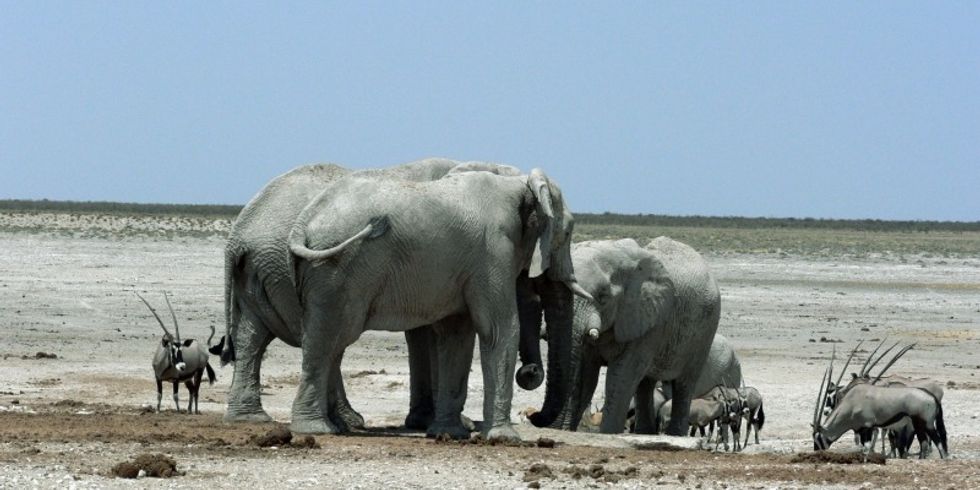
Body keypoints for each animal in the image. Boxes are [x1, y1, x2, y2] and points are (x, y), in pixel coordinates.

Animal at [217, 158, 548, 432]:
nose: (530, 371)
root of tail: (238, 235)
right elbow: (429, 333)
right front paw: (448, 424)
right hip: (307, 269)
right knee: (325, 336)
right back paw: (339, 423)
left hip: (260, 273)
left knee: (255, 337)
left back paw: (256, 418)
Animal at [286, 169, 588, 440]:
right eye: (568, 232)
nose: (530, 372)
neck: (517, 183)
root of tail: (302, 223)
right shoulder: (494, 253)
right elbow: (498, 329)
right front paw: (504, 439)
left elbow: (457, 335)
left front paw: (448, 434)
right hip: (337, 270)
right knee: (330, 339)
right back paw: (316, 429)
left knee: (331, 343)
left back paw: (335, 427)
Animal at [540, 239, 724, 434]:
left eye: (603, 297)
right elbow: (587, 376)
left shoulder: (649, 320)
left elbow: (620, 377)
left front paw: (609, 434)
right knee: (645, 384)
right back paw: (645, 432)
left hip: (705, 332)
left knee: (684, 384)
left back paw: (675, 434)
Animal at [812, 344, 948, 460]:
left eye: (818, 437)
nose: (816, 451)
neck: (852, 403)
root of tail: (932, 397)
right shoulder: (861, 429)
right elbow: (864, 445)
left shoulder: (868, 426)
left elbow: (867, 447)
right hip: (921, 424)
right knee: (928, 441)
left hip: (923, 423)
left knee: (933, 441)